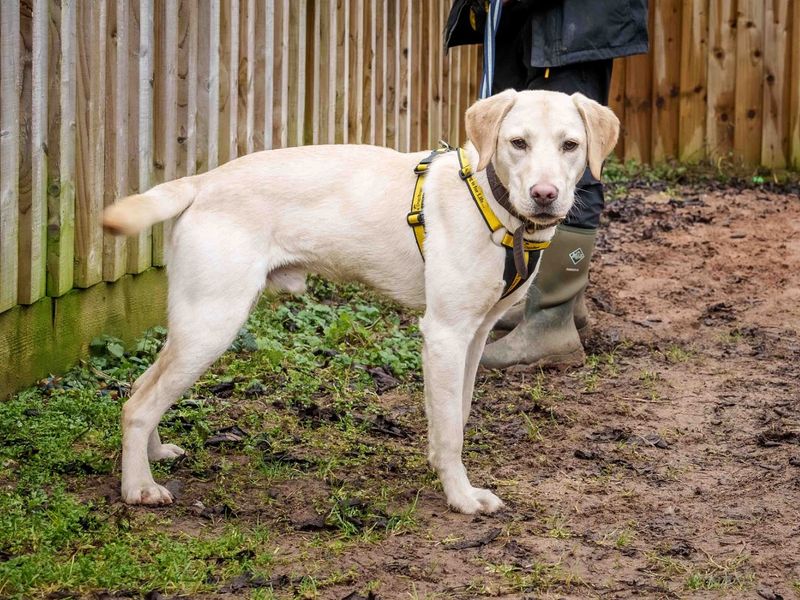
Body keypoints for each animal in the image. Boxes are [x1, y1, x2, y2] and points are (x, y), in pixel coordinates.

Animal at [104, 90, 620, 516]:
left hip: (193, 321)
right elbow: (451, 428)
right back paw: (139, 488)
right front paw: (461, 497)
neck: (491, 200)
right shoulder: (445, 334)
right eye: (517, 143)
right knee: (140, 403)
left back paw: (153, 455)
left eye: (570, 145)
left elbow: (455, 413)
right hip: (212, 322)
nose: (545, 195)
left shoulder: (473, 336)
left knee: (142, 385)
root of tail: (204, 180)